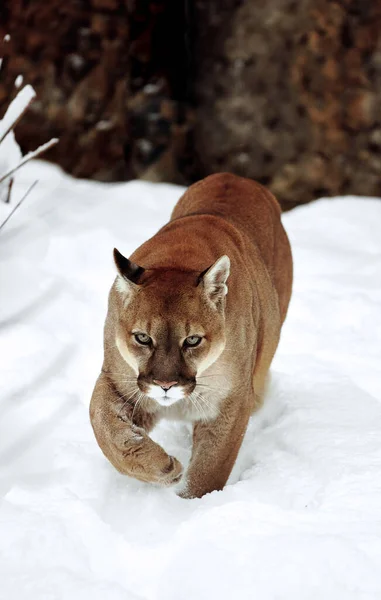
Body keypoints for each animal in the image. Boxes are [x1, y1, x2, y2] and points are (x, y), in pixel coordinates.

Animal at [89, 172, 290, 496]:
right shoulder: (118, 379)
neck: (178, 260)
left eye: (192, 340)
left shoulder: (231, 402)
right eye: (142, 338)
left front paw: (190, 505)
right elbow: (105, 426)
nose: (165, 385)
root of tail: (235, 176)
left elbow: (209, 471)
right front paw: (161, 468)